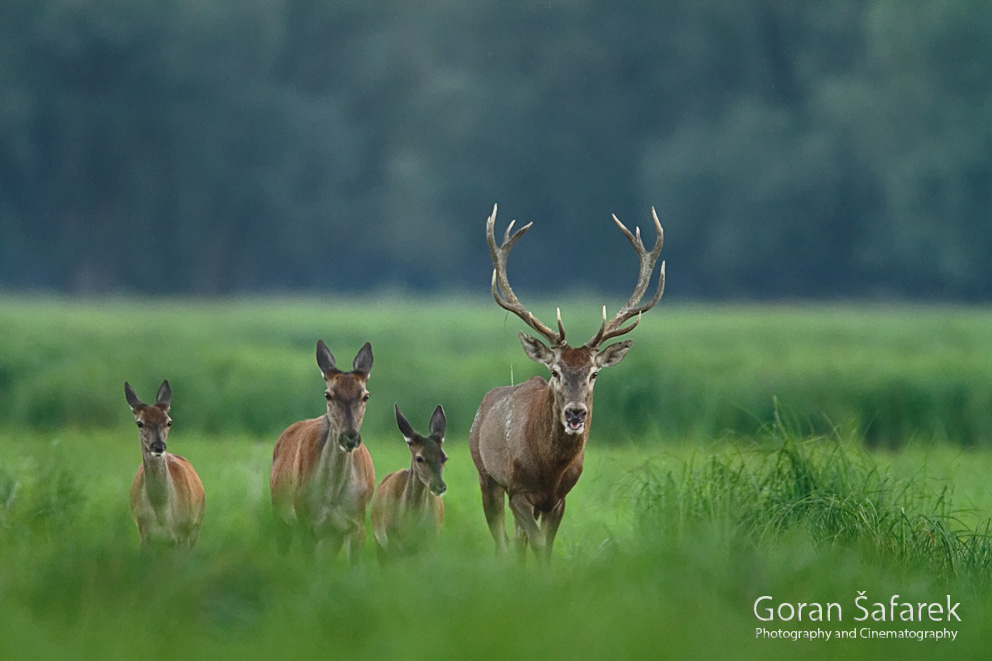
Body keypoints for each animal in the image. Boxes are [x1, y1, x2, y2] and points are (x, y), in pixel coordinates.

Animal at [127, 378, 206, 548]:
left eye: (169, 422)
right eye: (139, 423)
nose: (158, 446)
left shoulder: (184, 533)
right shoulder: (144, 533)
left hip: (196, 526)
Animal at [272, 340, 376, 564]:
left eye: (365, 395)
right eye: (328, 394)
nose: (350, 436)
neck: (332, 495)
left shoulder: (357, 524)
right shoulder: (305, 520)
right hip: (279, 512)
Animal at [370, 402, 448, 564]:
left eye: (444, 457)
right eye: (419, 458)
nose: (440, 486)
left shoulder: (430, 541)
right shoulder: (390, 540)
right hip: (378, 540)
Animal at [466, 202, 664, 564]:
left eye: (594, 373)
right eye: (556, 371)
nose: (575, 413)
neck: (550, 470)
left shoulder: (559, 500)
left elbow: (543, 548)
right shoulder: (518, 491)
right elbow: (534, 543)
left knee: (517, 541)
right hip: (485, 474)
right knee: (502, 539)